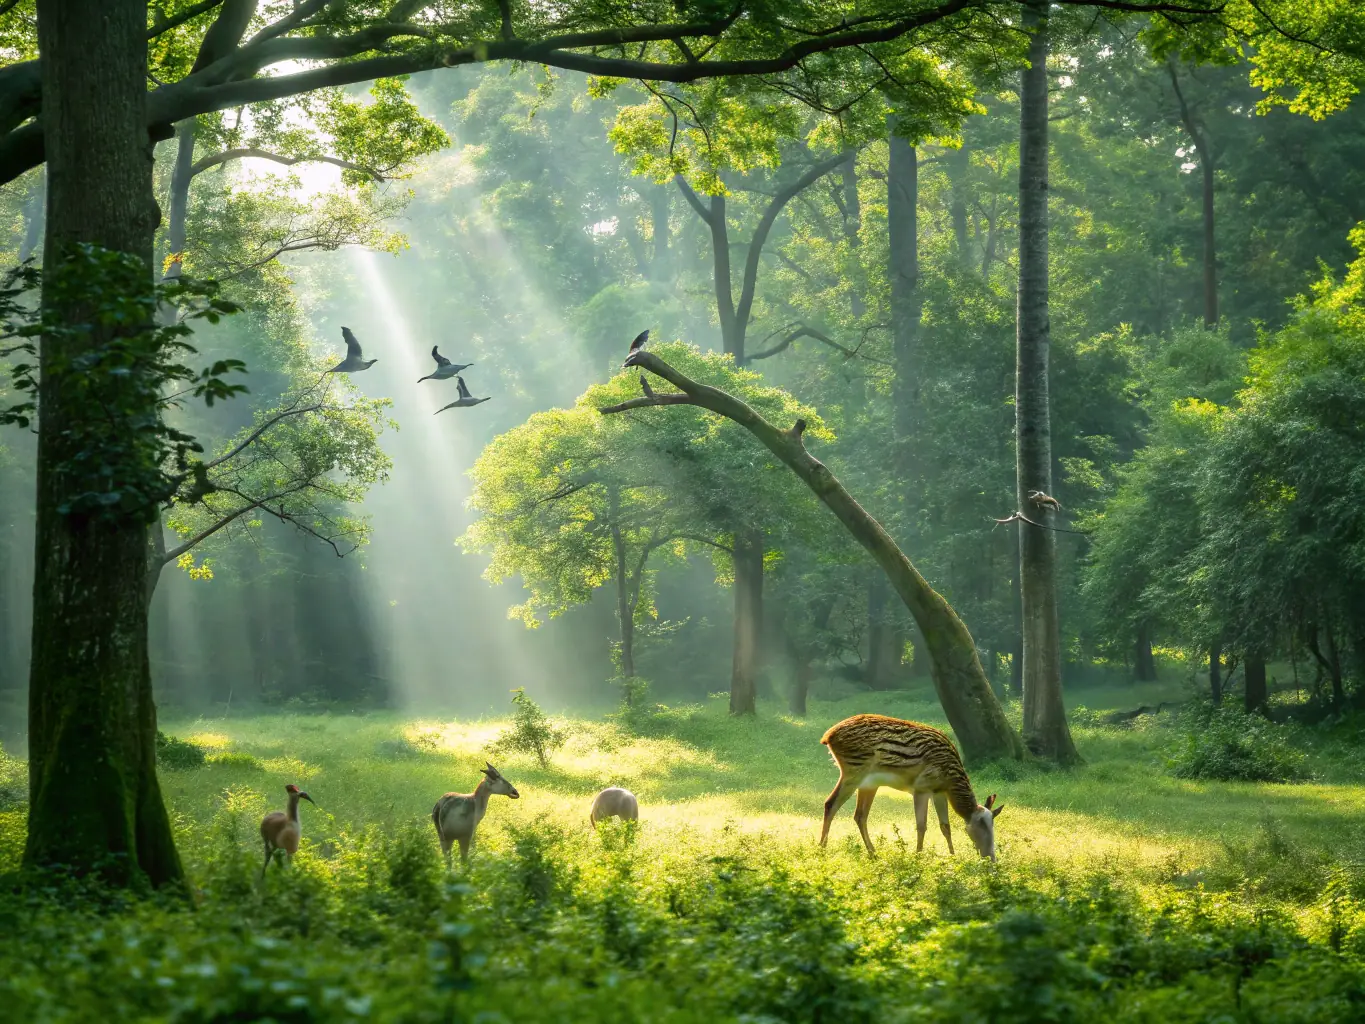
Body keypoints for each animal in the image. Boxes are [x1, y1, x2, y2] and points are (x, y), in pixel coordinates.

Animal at [819, 714, 1004, 861]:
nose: (991, 858)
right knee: (830, 804)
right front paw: (918, 856)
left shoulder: (939, 791)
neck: (951, 779)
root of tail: (827, 736)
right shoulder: (921, 788)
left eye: (993, 824)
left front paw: (953, 857)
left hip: (869, 783)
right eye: (980, 825)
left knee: (860, 815)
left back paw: (873, 853)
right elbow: (921, 825)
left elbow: (945, 826)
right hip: (854, 771)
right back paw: (822, 848)